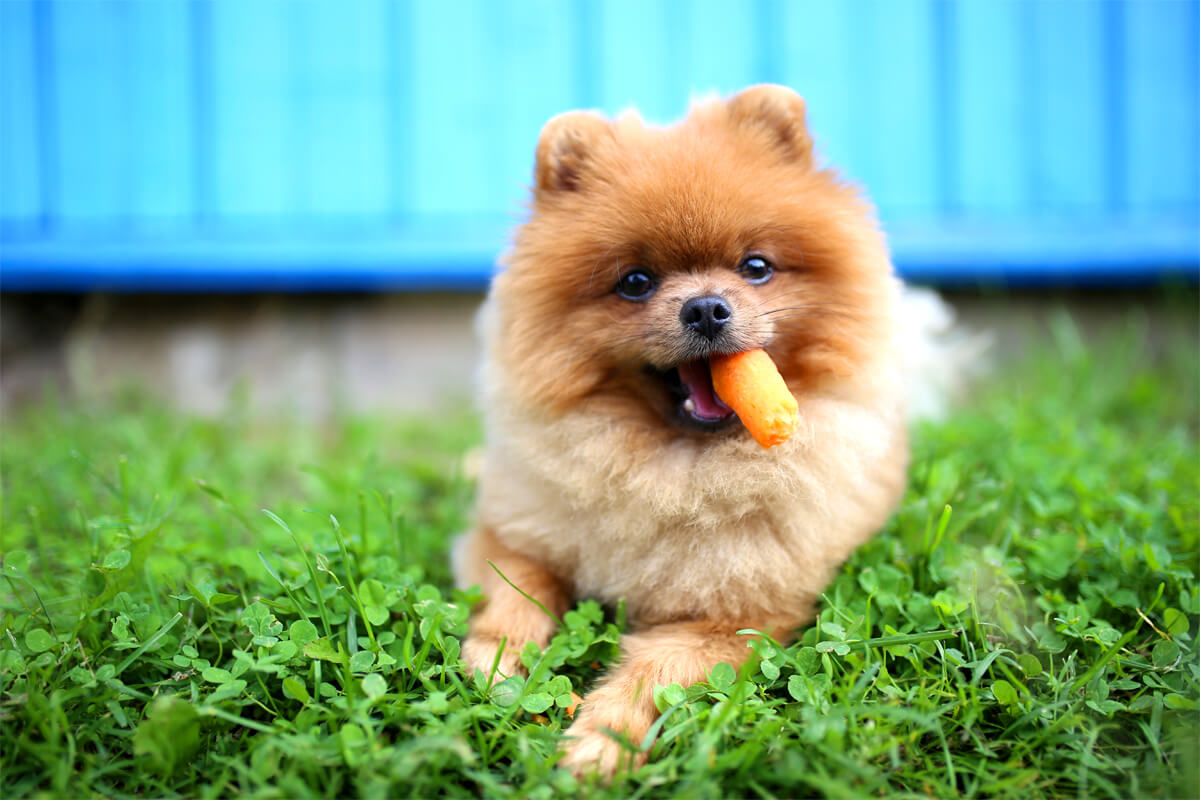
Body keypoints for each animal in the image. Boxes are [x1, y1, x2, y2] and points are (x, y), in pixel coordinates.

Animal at [453, 86, 902, 777]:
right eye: (635, 282)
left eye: (756, 267)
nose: (707, 307)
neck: (672, 470)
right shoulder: (511, 534)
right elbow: (514, 593)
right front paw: (500, 661)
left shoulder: (736, 618)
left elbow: (656, 670)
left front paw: (600, 740)